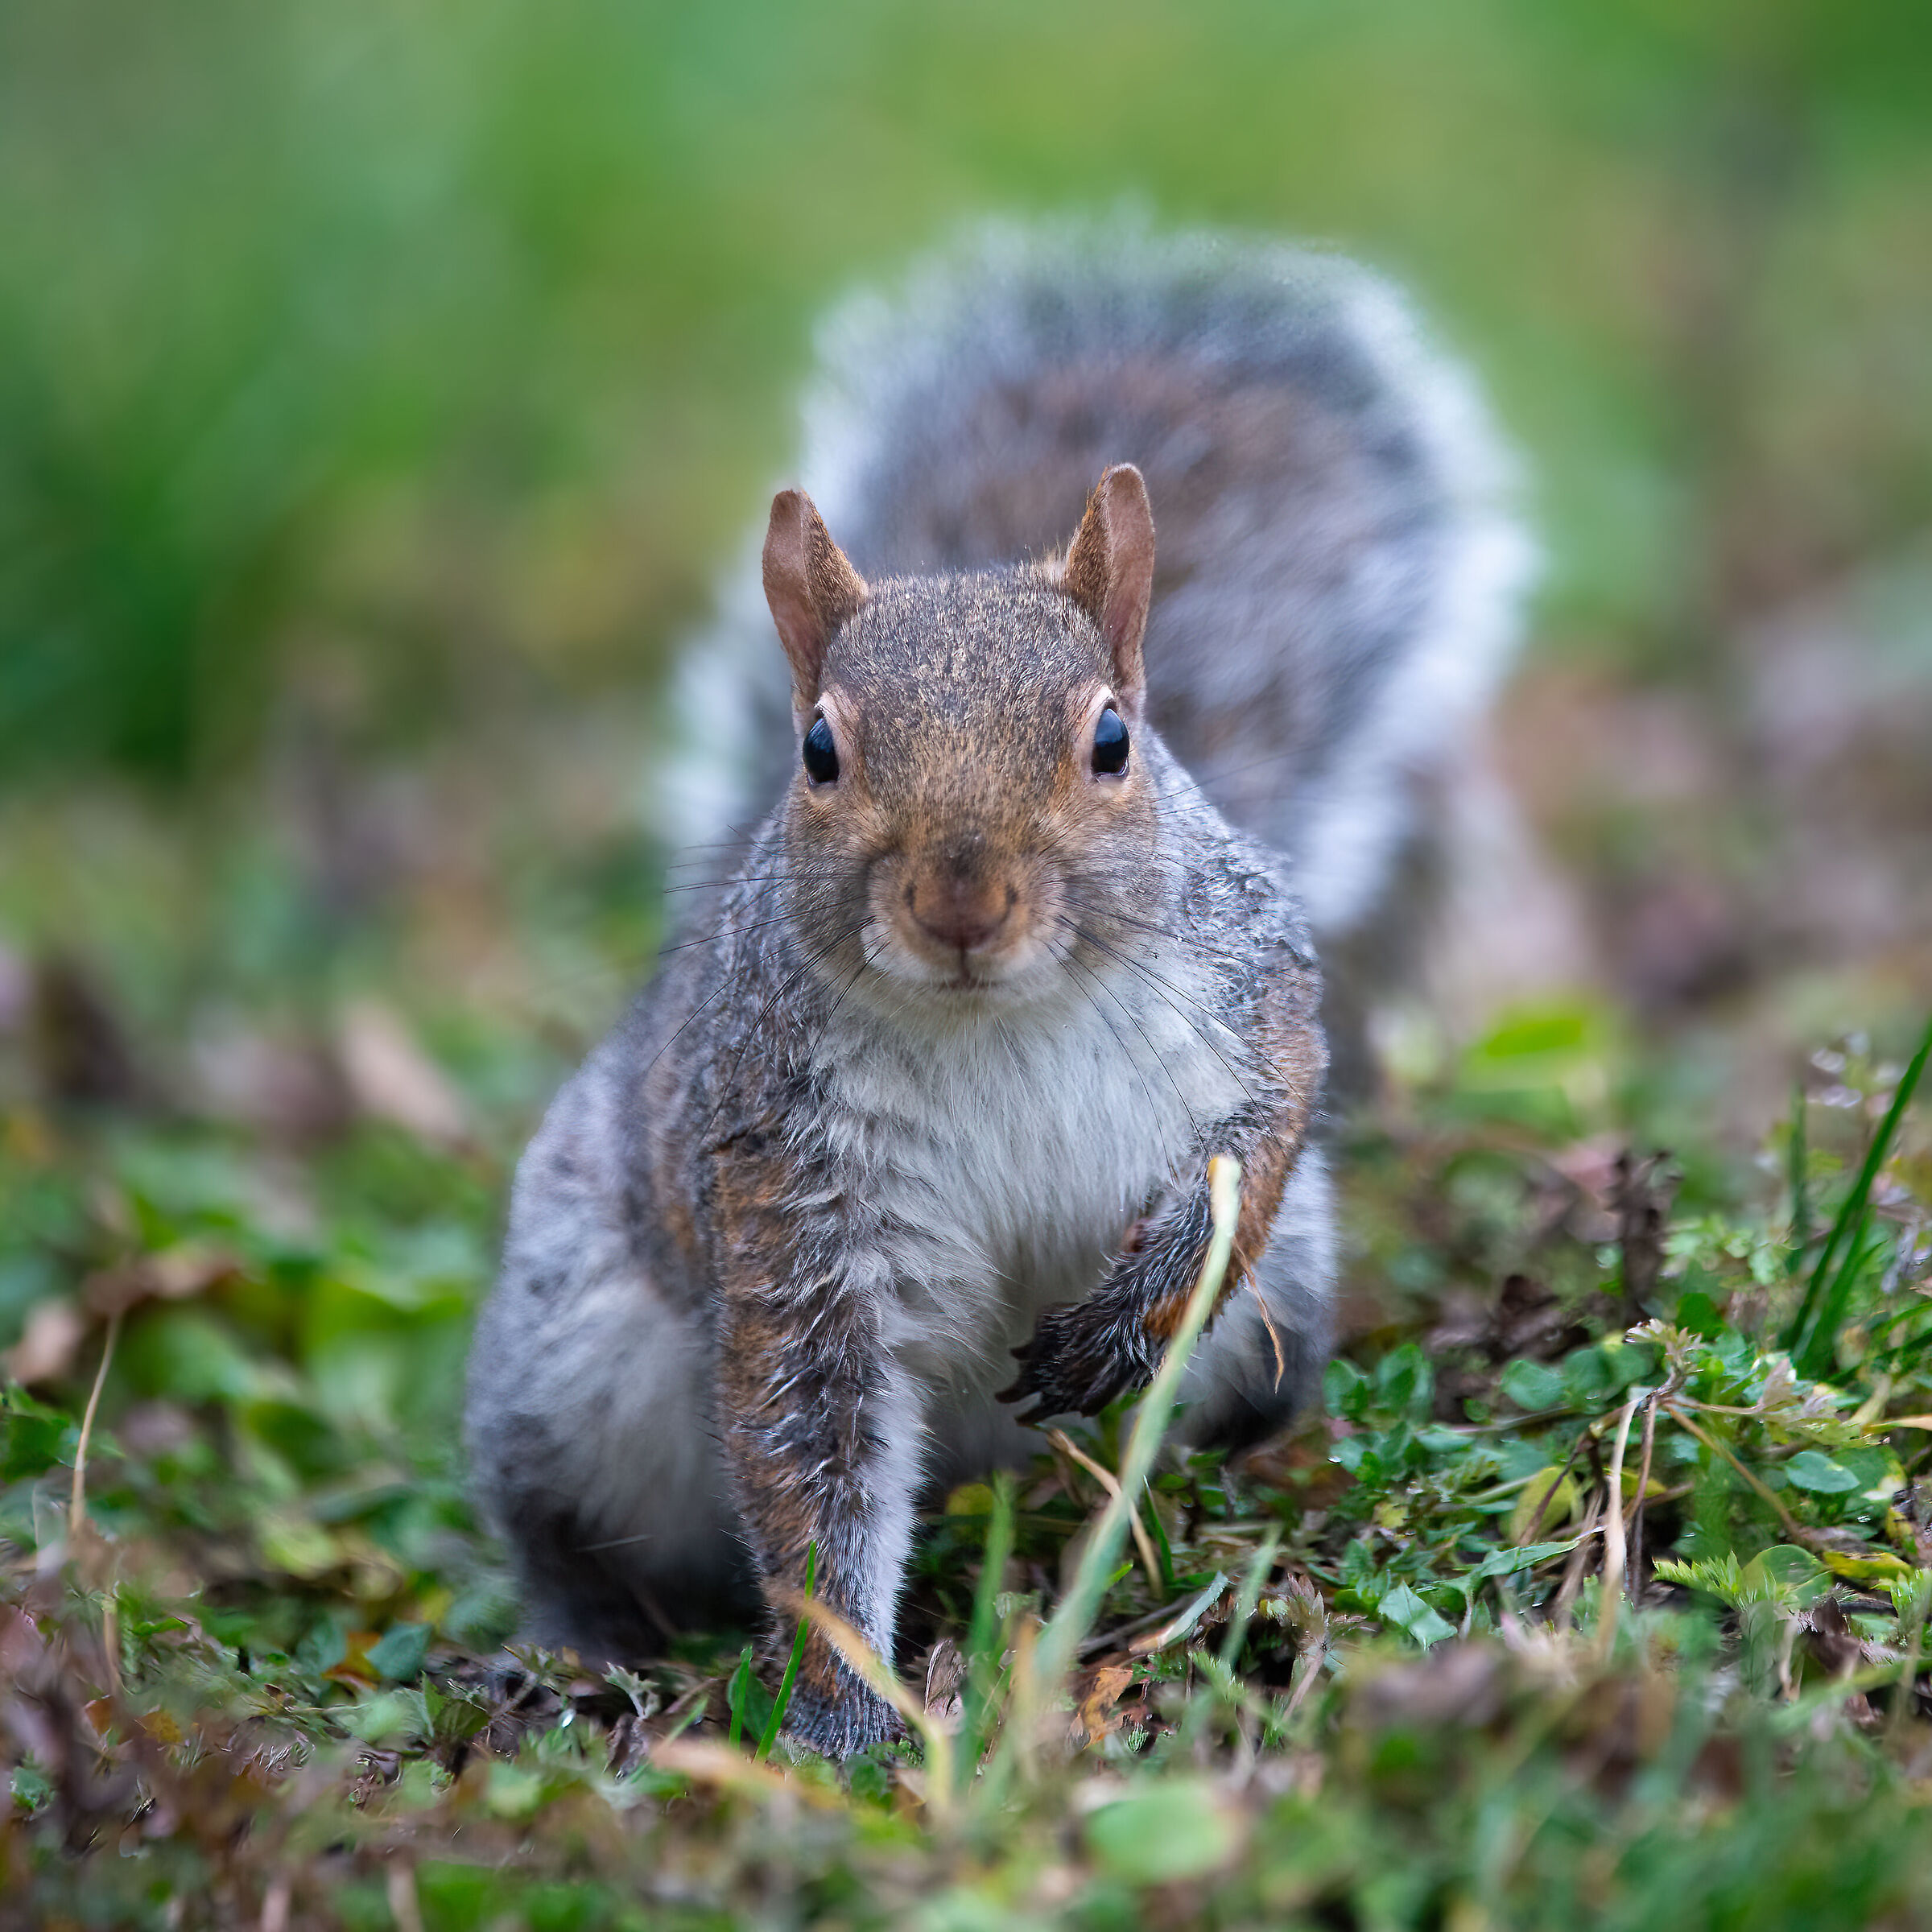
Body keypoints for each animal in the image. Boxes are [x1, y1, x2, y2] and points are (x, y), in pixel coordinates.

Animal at [465, 218, 1530, 1756]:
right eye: (819, 751)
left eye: (1112, 740)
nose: (961, 902)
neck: (996, 1017)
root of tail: (985, 1470)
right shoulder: (791, 1200)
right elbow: (812, 1477)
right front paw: (843, 1724)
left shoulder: (1253, 989)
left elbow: (1264, 1132)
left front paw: (1140, 1300)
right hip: (567, 1358)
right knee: (568, 1527)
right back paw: (581, 1640)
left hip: (1278, 1310)